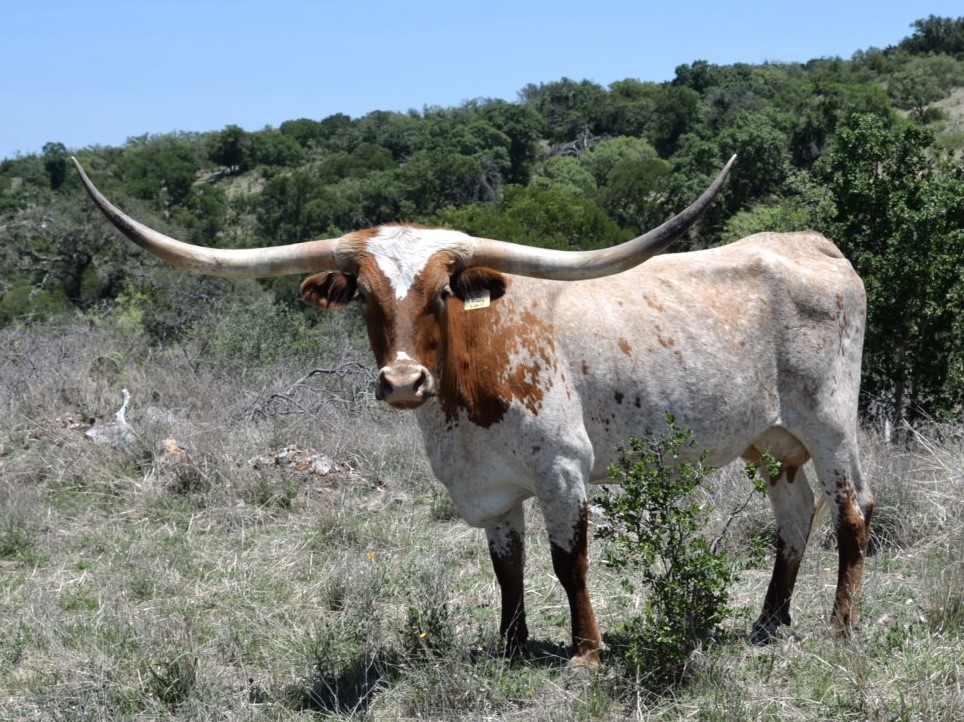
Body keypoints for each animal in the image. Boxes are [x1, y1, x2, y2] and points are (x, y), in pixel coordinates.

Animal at [72, 156, 873, 667]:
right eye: (364, 296)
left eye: (440, 293)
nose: (402, 382)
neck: (462, 391)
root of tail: (813, 242)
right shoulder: (488, 488)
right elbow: (507, 568)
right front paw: (511, 646)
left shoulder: (562, 472)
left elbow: (568, 563)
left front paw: (586, 654)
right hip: (770, 438)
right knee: (794, 514)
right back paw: (768, 622)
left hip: (831, 422)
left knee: (852, 513)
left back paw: (840, 625)